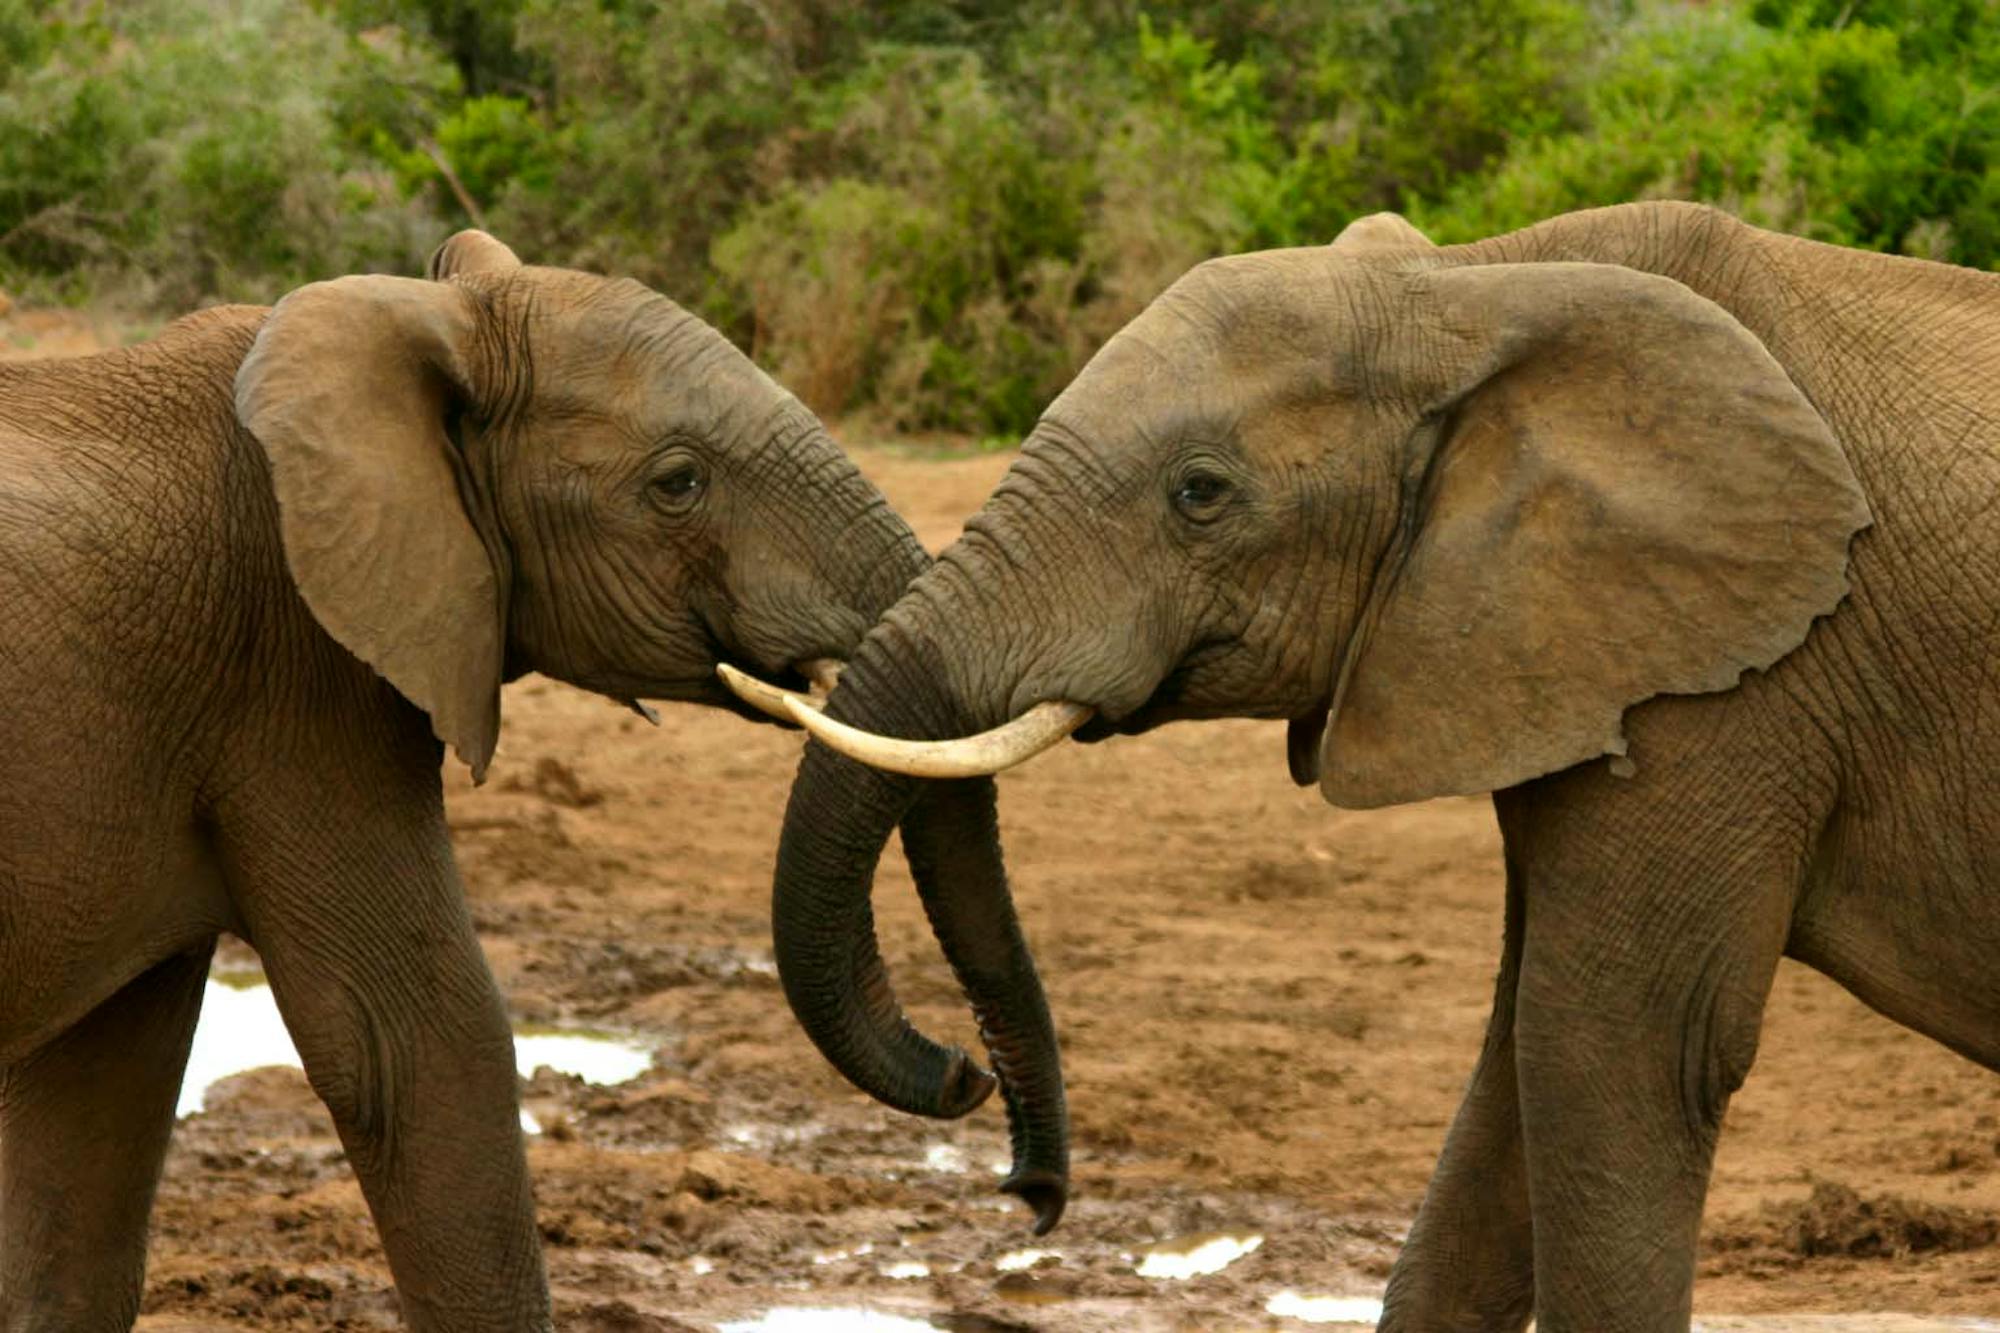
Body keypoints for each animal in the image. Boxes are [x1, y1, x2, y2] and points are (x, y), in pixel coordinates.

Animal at [0, 230, 1025, 1332]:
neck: (411, 319)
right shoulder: (298, 670)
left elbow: (102, 1091)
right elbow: (418, 1047)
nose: (967, 1073)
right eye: (677, 483)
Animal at [728, 200, 2000, 1329]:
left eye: (1199, 493)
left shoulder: (1737, 679)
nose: (982, 1108)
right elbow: (1518, 1058)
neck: (1473, 286)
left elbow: (1616, 1051)